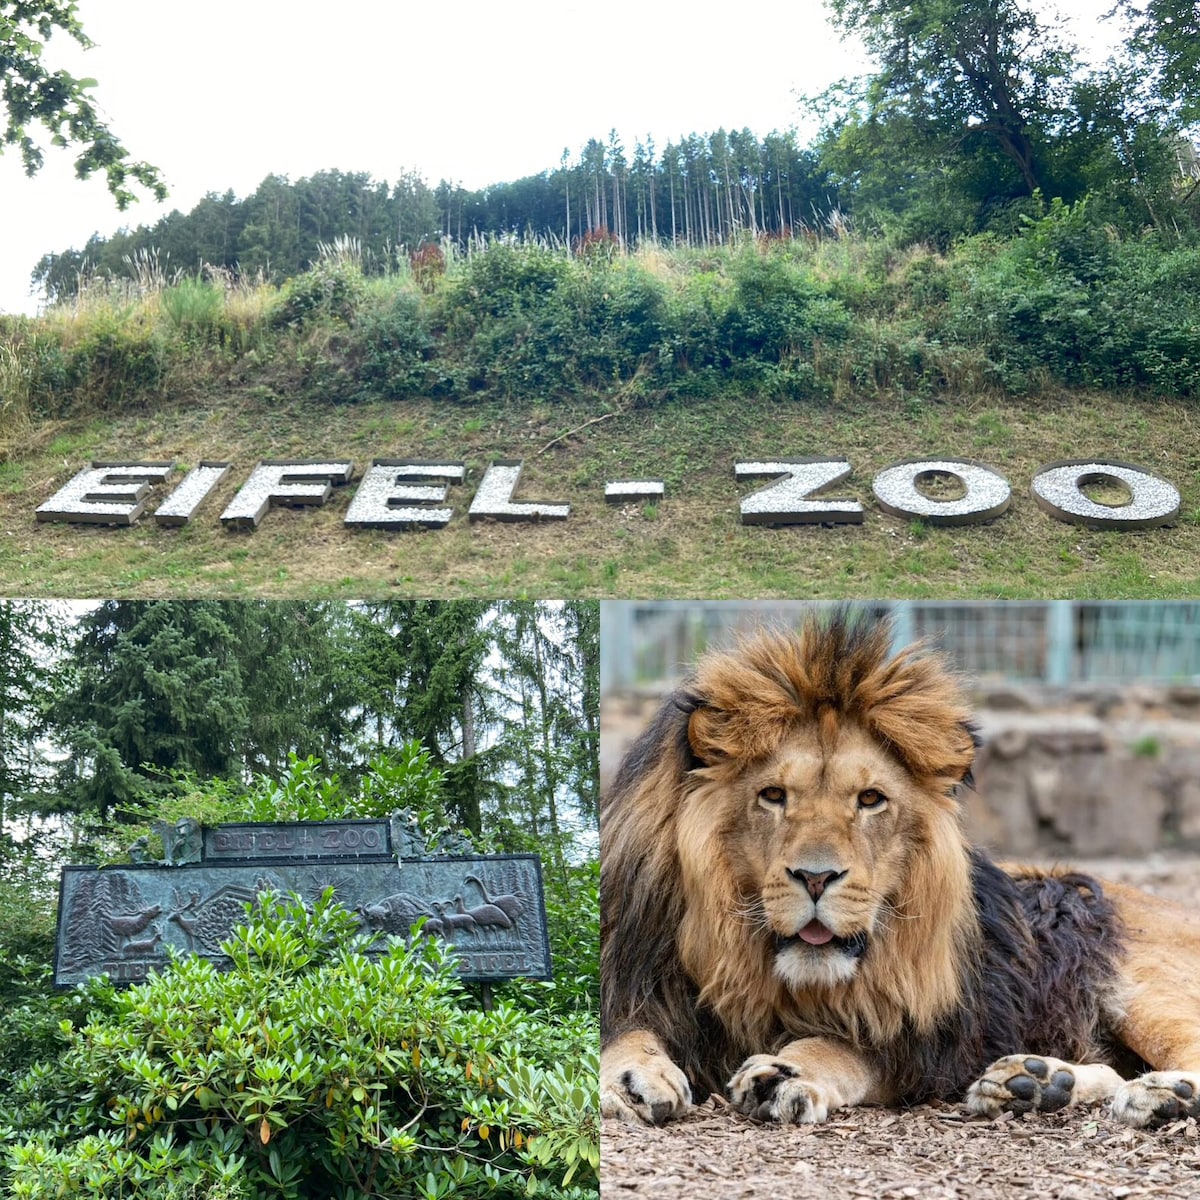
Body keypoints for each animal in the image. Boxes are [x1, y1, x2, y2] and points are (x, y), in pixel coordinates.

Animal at [600, 614, 1200, 1128]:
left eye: (870, 799)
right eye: (772, 795)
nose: (816, 878)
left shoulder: (924, 1040)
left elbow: (840, 1046)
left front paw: (785, 1071)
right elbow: (624, 1029)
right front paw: (630, 1076)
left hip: (1146, 988)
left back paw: (1160, 1094)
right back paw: (1035, 1082)